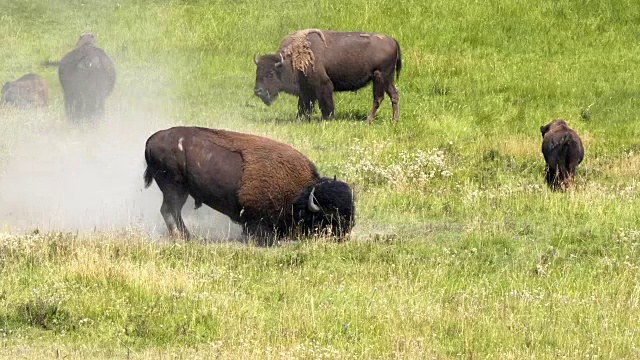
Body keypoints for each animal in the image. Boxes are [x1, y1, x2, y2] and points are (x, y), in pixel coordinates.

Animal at [143, 126, 358, 245]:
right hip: (174, 188)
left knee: (173, 211)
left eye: (351, 211)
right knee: (169, 210)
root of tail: (151, 139)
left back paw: (187, 237)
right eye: (330, 216)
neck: (300, 194)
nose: (344, 235)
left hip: (181, 190)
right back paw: (182, 237)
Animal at [254, 28, 400, 124]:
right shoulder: (306, 89)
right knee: (394, 95)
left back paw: (368, 121)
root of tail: (393, 40)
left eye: (270, 73)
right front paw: (300, 119)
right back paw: (394, 121)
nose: (257, 91)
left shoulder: (323, 85)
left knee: (378, 98)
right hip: (388, 78)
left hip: (379, 77)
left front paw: (327, 119)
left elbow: (325, 103)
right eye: (257, 72)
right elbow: (303, 105)